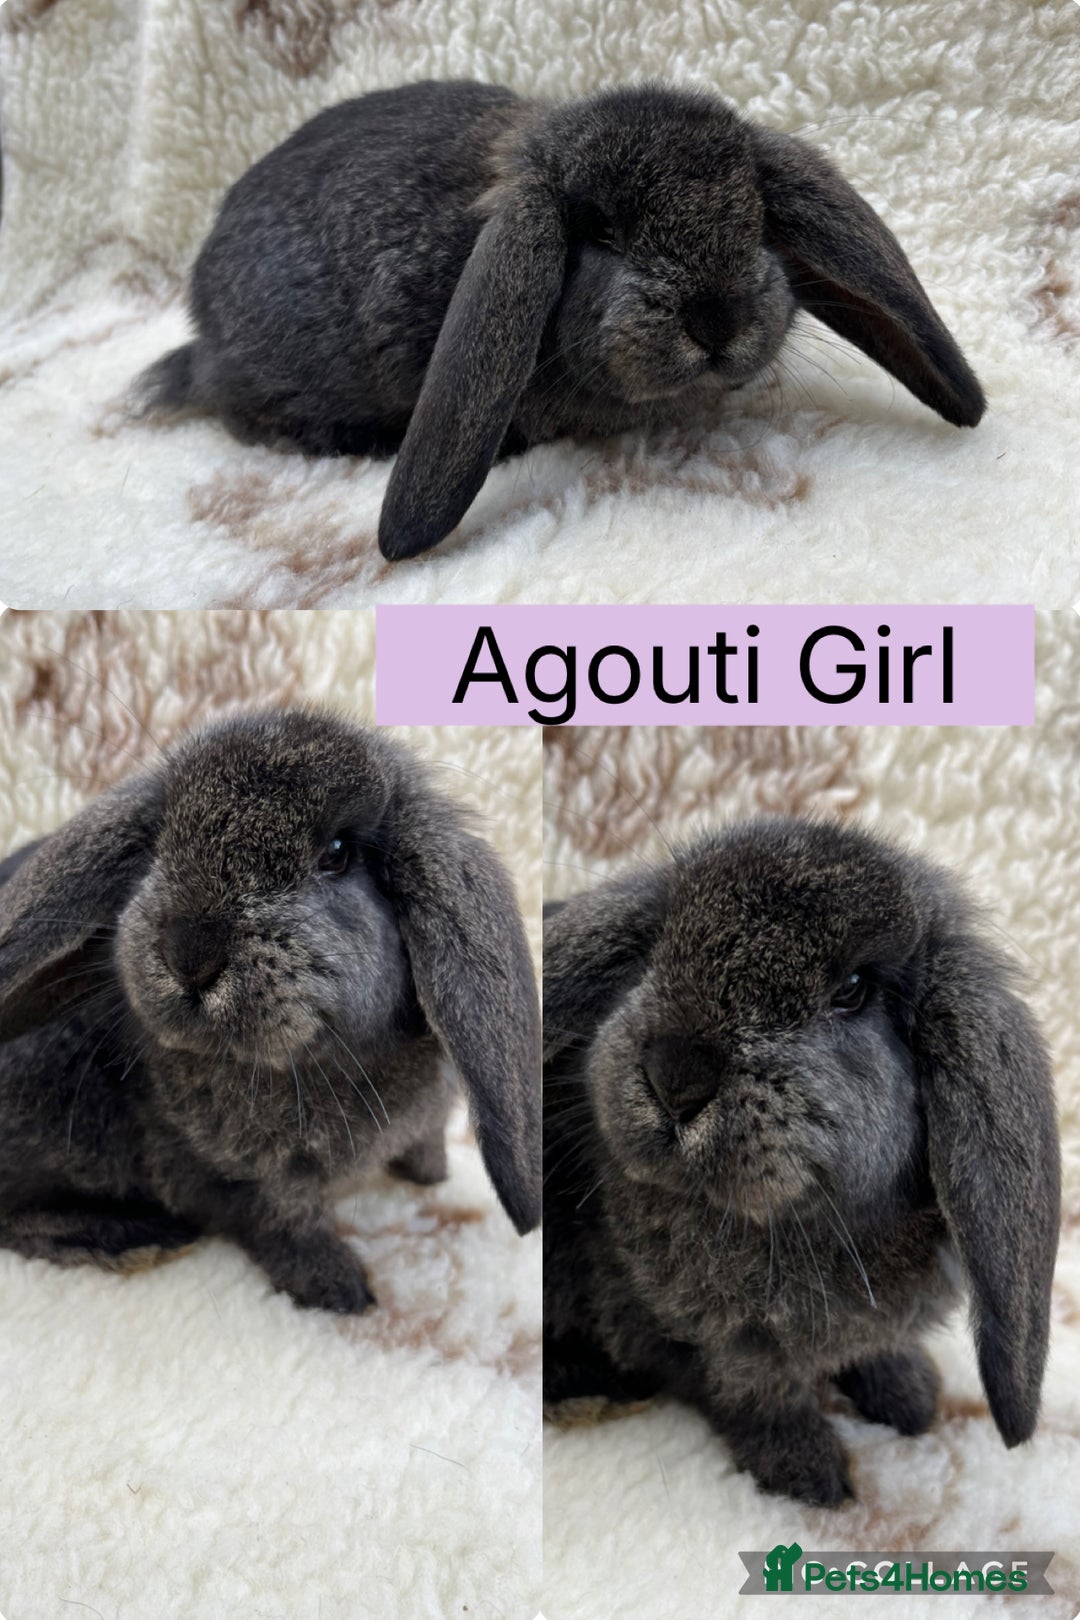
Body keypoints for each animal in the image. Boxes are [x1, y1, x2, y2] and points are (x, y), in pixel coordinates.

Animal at [0, 707, 540, 1314]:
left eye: (337, 853)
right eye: (161, 842)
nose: (190, 952)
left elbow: (422, 1144)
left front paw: (429, 1176)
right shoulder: (243, 1181)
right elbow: (282, 1224)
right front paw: (342, 1289)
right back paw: (133, 1238)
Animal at [543, 818, 1059, 1506]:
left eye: (853, 989)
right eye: (657, 948)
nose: (675, 1075)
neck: (799, 1227)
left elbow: (870, 1354)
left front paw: (910, 1397)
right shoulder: (707, 1341)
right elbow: (758, 1397)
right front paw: (813, 1476)